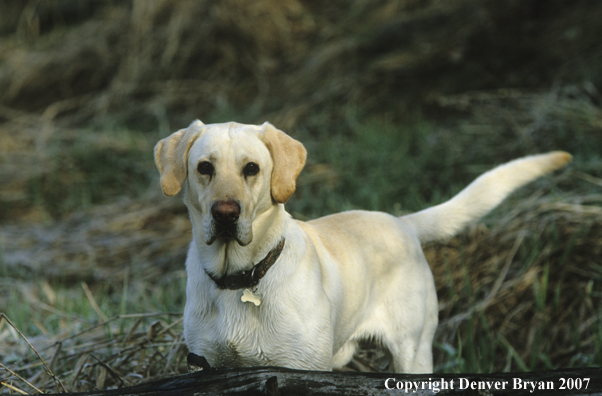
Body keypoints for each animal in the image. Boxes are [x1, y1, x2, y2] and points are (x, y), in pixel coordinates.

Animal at [152, 119, 568, 372]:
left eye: (251, 168)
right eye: (205, 168)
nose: (225, 213)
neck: (240, 276)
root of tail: (403, 222)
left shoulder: (301, 367)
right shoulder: (207, 365)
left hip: (413, 353)